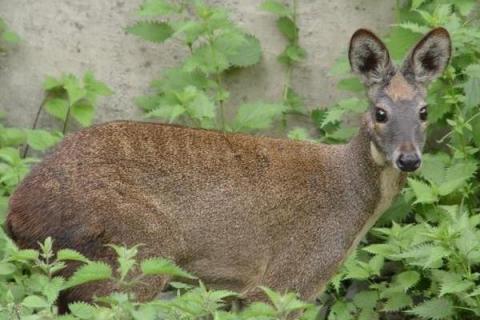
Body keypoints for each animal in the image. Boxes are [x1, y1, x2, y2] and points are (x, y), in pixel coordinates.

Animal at [6, 28, 450, 312]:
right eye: (380, 112)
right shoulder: (285, 280)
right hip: (133, 253)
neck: (353, 202)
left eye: (424, 111)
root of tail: (16, 215)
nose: (409, 158)